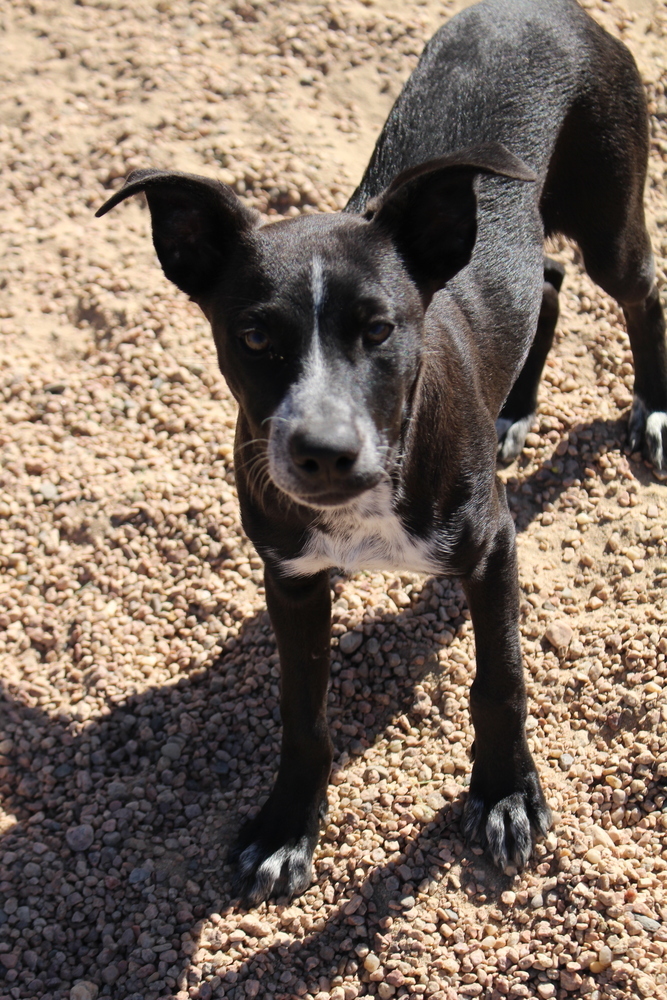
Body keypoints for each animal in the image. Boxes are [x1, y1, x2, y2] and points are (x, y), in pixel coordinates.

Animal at [95, 0, 667, 908]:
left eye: (378, 328)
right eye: (253, 336)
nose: (322, 454)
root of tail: (545, 7)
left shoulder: (491, 548)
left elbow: (499, 681)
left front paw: (504, 794)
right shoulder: (289, 576)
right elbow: (301, 714)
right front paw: (286, 827)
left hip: (609, 209)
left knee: (639, 290)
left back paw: (651, 409)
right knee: (542, 279)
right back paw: (513, 409)